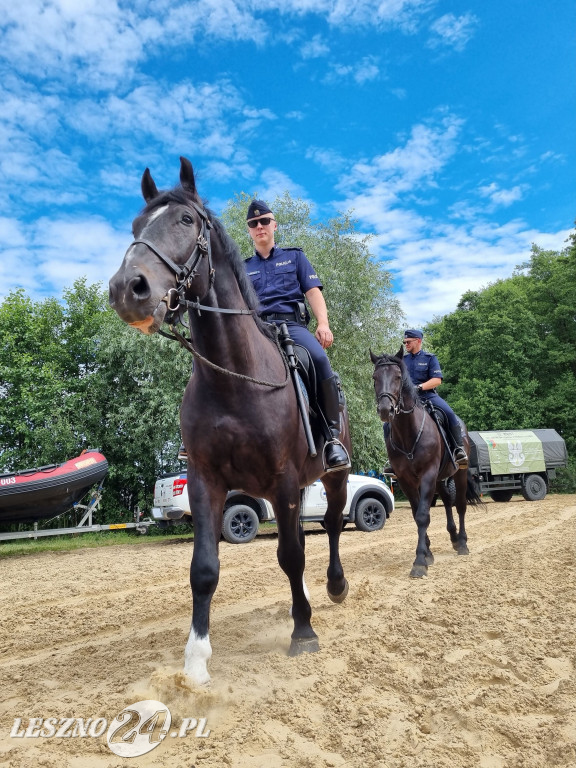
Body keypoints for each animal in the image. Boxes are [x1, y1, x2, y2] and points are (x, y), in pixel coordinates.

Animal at [108, 156, 352, 684]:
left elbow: (290, 554)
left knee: (331, 528)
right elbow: (204, 568)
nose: (127, 289)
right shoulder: (206, 482)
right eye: (135, 227)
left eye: (185, 220)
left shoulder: (282, 480)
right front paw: (196, 660)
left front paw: (304, 633)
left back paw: (333, 588)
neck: (232, 379)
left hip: (333, 475)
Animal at [368, 346, 482, 576]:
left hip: (458, 473)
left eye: (398, 377)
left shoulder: (428, 474)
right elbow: (416, 513)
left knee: (460, 505)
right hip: (439, 478)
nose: (385, 410)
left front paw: (420, 560)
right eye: (375, 378)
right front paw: (428, 553)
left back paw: (462, 543)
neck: (409, 433)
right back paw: (453, 537)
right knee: (446, 500)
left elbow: (422, 515)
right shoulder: (406, 479)